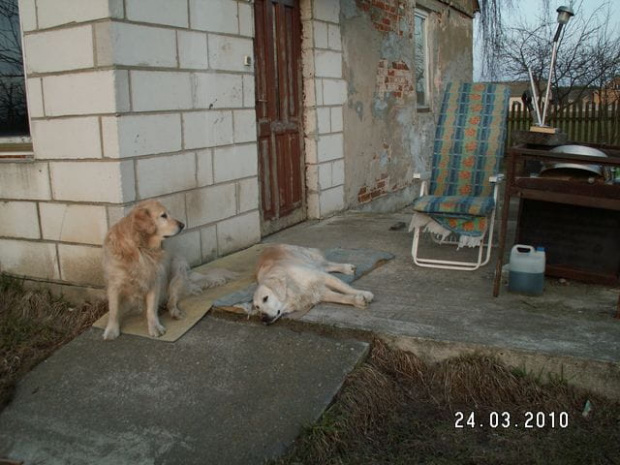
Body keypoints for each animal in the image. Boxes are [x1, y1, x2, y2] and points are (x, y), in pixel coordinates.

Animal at [104, 198, 235, 338]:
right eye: (163, 215)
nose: (182, 224)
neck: (140, 248)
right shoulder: (114, 284)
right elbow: (113, 310)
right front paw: (111, 330)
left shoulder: (154, 280)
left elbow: (151, 309)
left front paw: (155, 327)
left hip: (178, 268)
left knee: (172, 301)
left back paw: (175, 312)